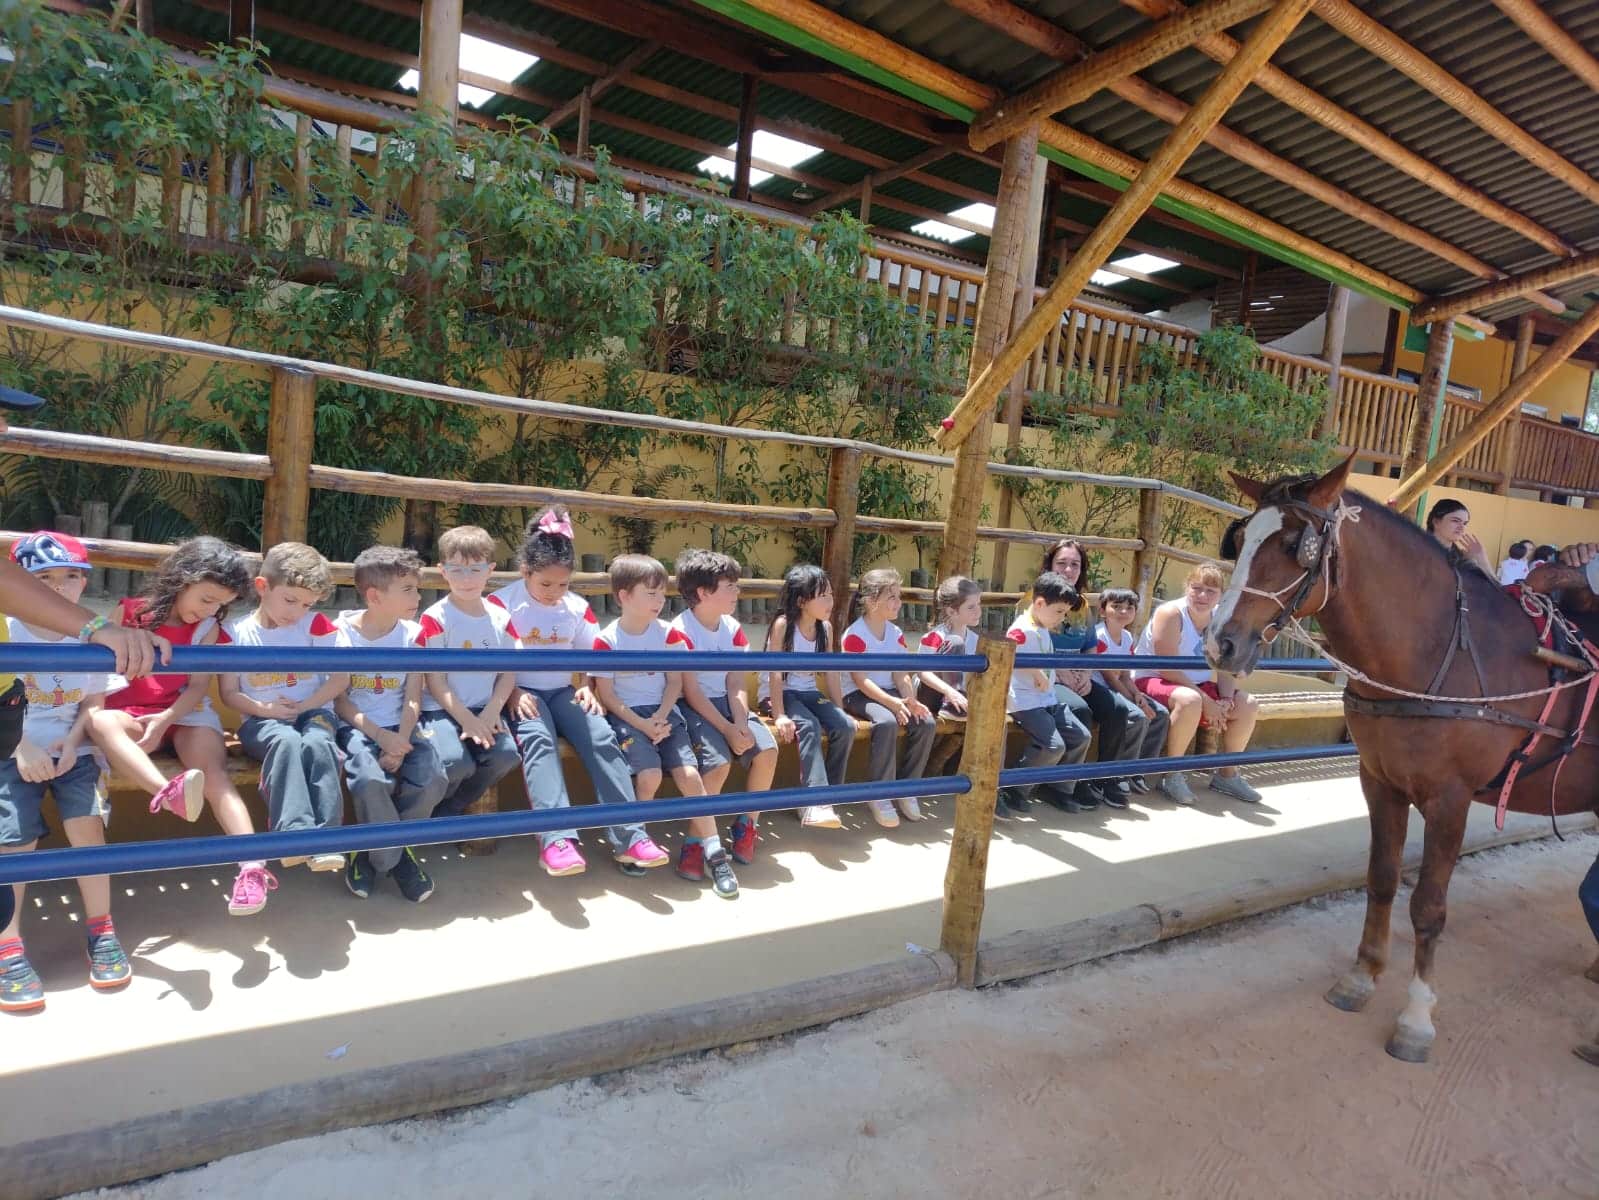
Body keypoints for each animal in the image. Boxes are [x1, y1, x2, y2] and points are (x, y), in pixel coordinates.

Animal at [1206, 453, 1599, 1063]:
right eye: (1242, 538)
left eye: (1297, 545)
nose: (1220, 641)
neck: (1438, 649)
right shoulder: (1379, 781)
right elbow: (1383, 879)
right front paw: (1363, 976)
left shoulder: (1450, 800)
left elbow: (1428, 908)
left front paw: (1416, 1017)